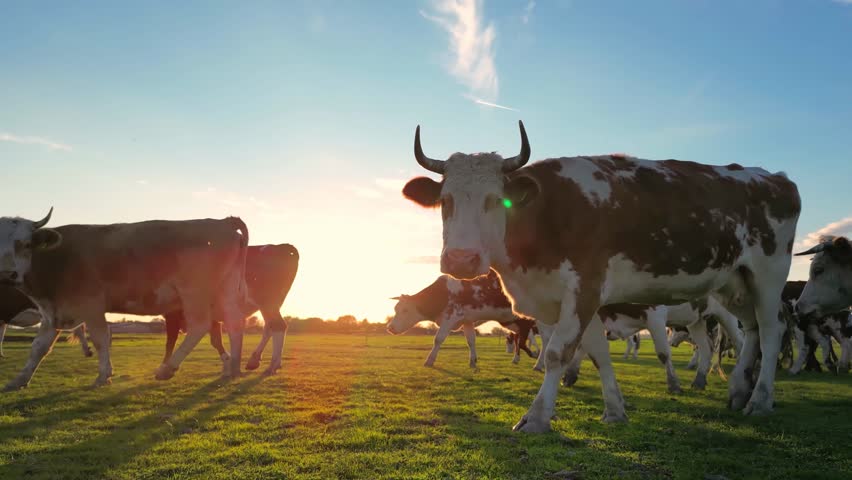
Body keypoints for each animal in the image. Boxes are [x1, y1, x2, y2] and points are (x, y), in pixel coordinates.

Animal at [0, 209, 249, 389]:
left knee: (200, 326)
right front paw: (19, 380)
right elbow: (39, 347)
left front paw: (103, 376)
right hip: (224, 292)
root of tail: (222, 222)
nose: (6, 274)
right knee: (235, 323)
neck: (58, 258)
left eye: (26, 244)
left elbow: (100, 339)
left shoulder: (92, 306)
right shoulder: (53, 313)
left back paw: (167, 369)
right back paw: (234, 368)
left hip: (194, 292)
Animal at [162, 244, 299, 375]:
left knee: (278, 325)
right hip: (272, 304)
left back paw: (272, 366)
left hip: (267, 302)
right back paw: (255, 360)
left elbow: (171, 340)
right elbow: (215, 340)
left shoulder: (173, 314)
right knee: (269, 326)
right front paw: (227, 364)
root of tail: (281, 246)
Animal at [561, 297, 744, 393]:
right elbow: (583, 348)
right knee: (706, 348)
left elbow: (663, 354)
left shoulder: (655, 315)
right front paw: (569, 376)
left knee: (740, 343)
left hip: (728, 314)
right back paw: (699, 381)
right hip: (697, 319)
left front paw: (674, 384)